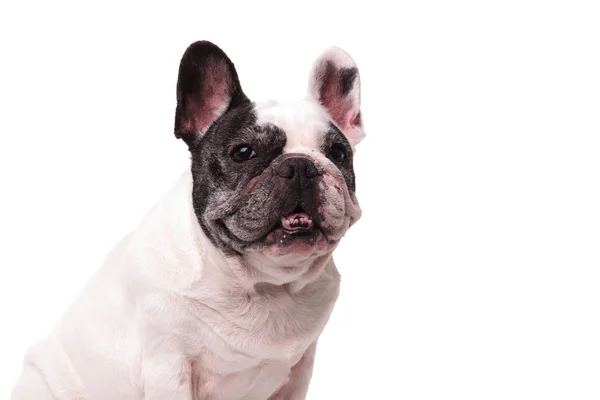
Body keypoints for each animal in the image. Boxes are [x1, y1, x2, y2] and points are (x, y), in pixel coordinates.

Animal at [11, 39, 364, 398]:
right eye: (243, 152)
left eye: (338, 153)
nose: (300, 166)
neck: (263, 284)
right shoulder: (168, 365)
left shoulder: (300, 369)